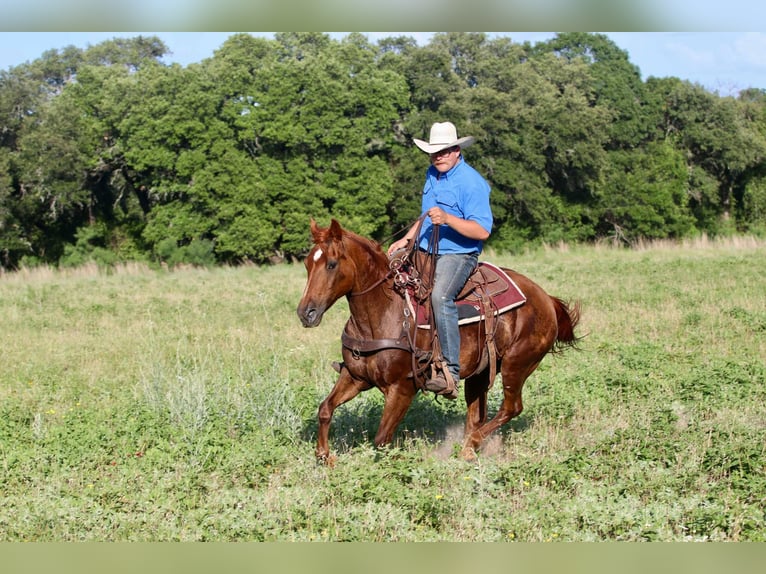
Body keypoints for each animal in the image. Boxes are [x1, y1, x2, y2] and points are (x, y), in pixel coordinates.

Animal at [297, 218, 580, 462]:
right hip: (480, 373)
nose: (306, 313)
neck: (383, 313)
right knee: (476, 413)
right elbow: (325, 409)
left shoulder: (402, 388)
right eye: (308, 264)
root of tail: (546, 298)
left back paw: (471, 445)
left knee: (511, 408)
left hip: (517, 365)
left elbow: (382, 439)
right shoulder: (355, 377)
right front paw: (324, 456)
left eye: (332, 264)